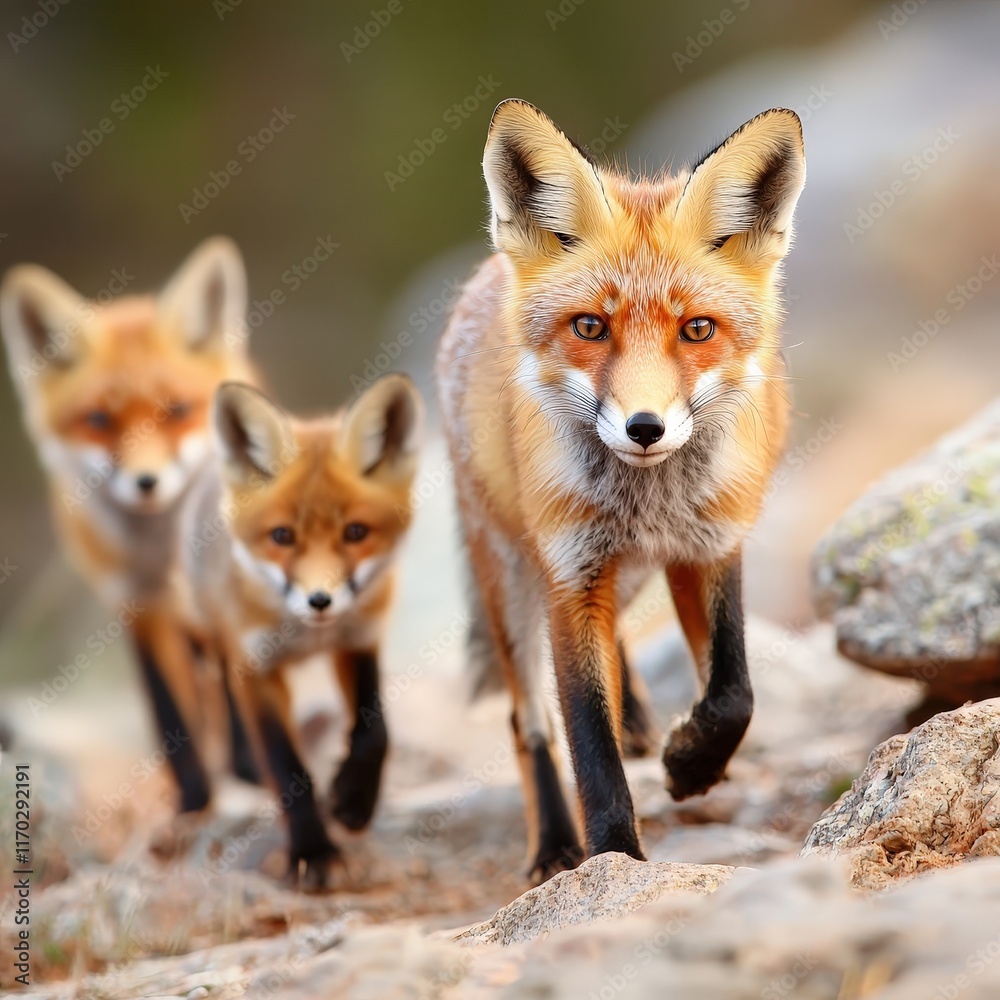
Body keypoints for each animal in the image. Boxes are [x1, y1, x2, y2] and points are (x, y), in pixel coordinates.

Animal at [0, 238, 260, 813]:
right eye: (99, 421)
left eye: (177, 411)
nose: (146, 482)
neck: (164, 555)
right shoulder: (137, 604)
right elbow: (170, 714)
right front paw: (193, 798)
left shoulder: (220, 587)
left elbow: (233, 690)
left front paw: (249, 769)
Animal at [177, 375, 423, 887]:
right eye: (282, 537)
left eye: (356, 532)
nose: (320, 601)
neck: (310, 637)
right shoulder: (256, 668)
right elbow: (287, 767)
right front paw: (314, 852)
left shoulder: (358, 639)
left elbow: (375, 732)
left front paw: (353, 801)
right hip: (206, 630)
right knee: (215, 681)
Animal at [436, 100, 806, 881]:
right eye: (590, 326)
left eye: (697, 328)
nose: (644, 427)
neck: (650, 505)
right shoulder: (570, 576)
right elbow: (588, 741)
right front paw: (610, 856)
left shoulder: (710, 546)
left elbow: (733, 691)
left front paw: (692, 764)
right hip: (509, 579)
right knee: (527, 720)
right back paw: (552, 843)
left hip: (631, 575)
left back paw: (641, 719)